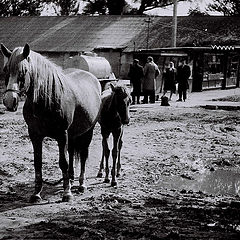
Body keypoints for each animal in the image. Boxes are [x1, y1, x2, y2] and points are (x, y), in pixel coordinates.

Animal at [0, 43, 101, 202]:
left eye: (24, 71)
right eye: (6, 70)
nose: (10, 101)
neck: (47, 100)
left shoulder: (62, 135)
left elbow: (63, 163)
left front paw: (67, 193)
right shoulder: (35, 135)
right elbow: (38, 163)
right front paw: (36, 193)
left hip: (87, 132)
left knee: (83, 156)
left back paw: (81, 184)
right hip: (72, 135)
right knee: (71, 152)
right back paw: (71, 179)